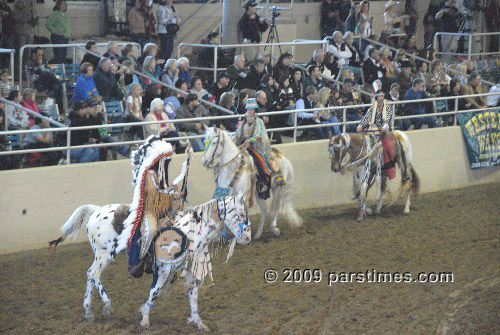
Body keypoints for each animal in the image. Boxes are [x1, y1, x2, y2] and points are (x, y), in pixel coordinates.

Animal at [48, 194, 250, 330]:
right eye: (241, 214)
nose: (247, 238)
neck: (189, 232)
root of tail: (97, 210)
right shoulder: (163, 270)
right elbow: (155, 292)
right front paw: (145, 318)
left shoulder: (190, 272)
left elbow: (193, 297)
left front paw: (198, 322)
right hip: (105, 255)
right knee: (94, 274)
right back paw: (107, 306)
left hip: (100, 256)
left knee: (90, 275)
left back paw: (88, 312)